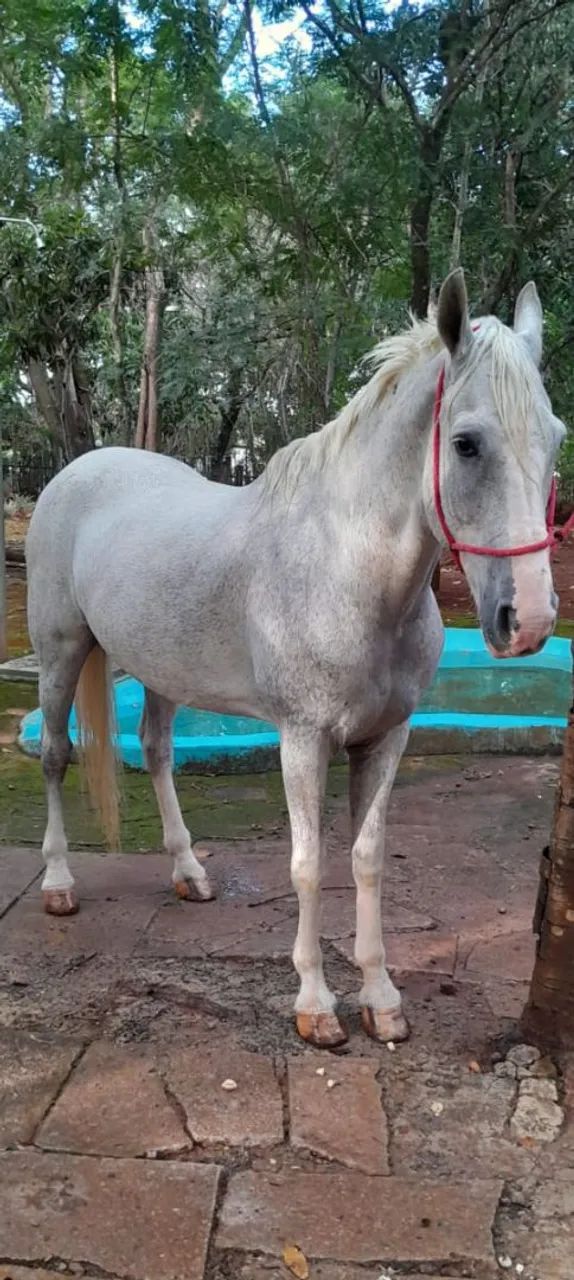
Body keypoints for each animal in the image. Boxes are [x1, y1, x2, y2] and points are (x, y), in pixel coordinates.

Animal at [26, 269, 565, 1048]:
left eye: (555, 438)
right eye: (466, 444)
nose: (528, 620)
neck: (346, 567)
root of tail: (79, 470)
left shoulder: (386, 739)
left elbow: (366, 860)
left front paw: (381, 997)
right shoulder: (303, 740)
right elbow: (308, 865)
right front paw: (315, 1004)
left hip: (161, 670)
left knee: (155, 751)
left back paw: (190, 871)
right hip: (61, 653)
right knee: (56, 756)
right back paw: (59, 884)